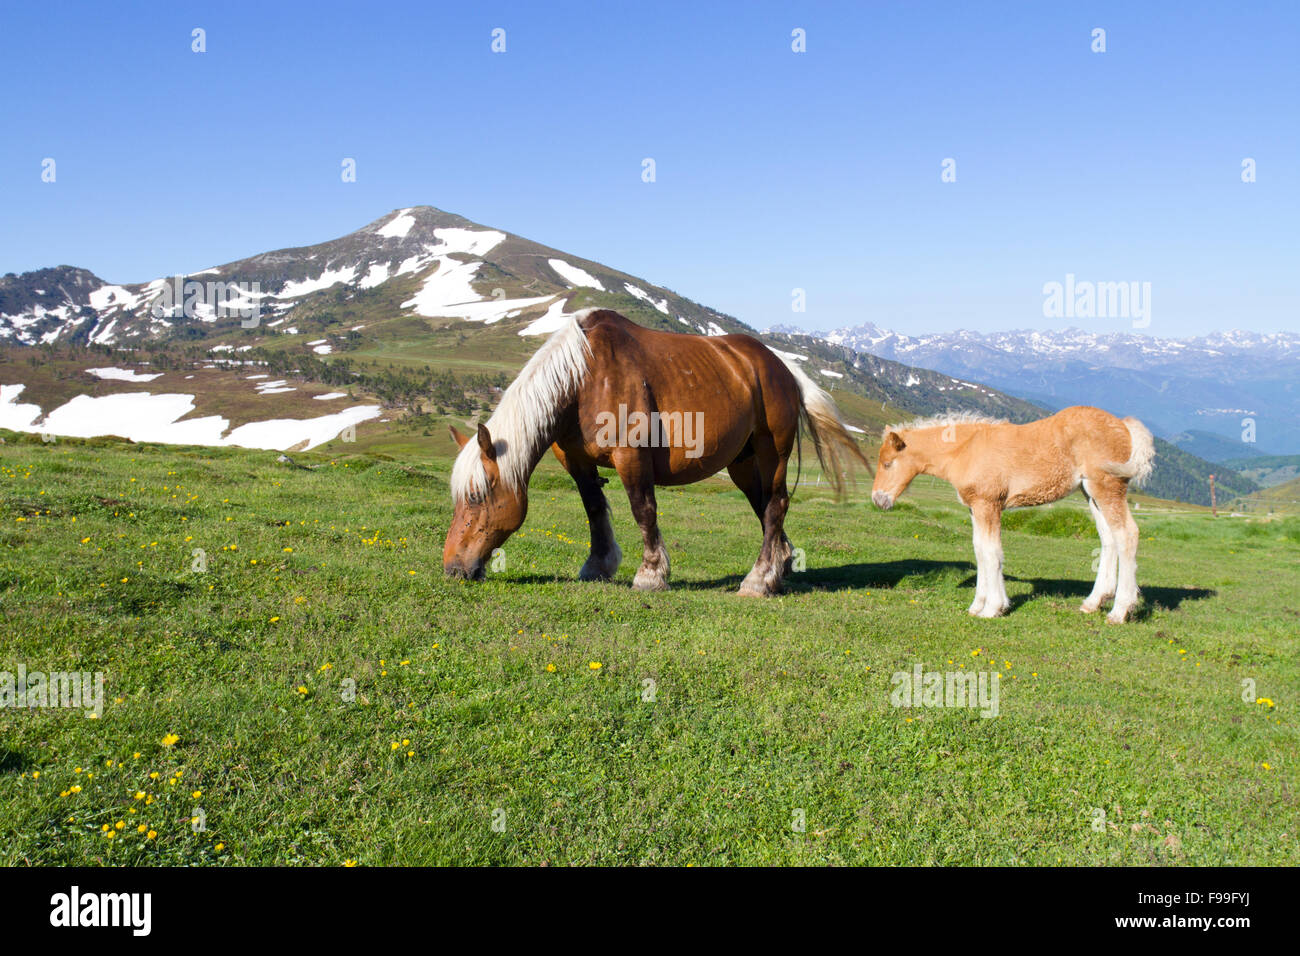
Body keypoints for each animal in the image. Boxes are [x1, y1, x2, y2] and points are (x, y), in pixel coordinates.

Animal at [443, 308, 870, 596]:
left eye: (476, 496)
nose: (453, 568)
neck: (584, 378)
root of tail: (778, 364)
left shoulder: (631, 457)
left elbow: (643, 510)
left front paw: (650, 574)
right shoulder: (576, 460)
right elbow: (594, 508)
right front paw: (598, 565)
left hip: (772, 453)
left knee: (776, 505)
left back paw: (759, 579)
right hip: (744, 464)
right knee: (766, 508)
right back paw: (780, 563)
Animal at [870, 406, 1155, 623]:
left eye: (888, 463)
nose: (878, 500)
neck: (966, 450)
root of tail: (1124, 425)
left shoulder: (988, 504)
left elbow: (992, 553)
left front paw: (993, 608)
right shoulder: (975, 508)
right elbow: (979, 550)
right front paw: (977, 605)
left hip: (1108, 486)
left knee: (1127, 534)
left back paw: (1119, 611)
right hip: (1090, 492)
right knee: (1108, 539)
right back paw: (1093, 602)